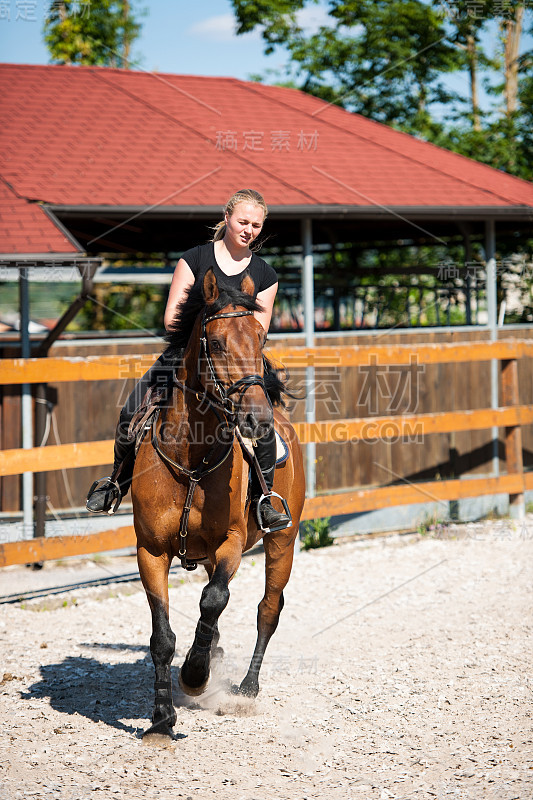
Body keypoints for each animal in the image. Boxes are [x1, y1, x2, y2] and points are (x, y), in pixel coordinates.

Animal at [131, 268, 306, 736]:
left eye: (261, 339)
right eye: (216, 342)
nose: (257, 419)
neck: (192, 457)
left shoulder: (231, 543)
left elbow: (213, 601)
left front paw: (194, 676)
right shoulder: (150, 550)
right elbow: (162, 636)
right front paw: (161, 719)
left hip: (283, 541)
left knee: (267, 609)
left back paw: (246, 687)